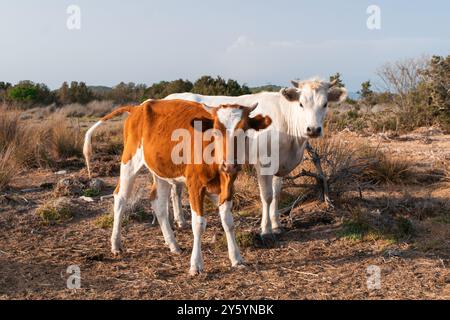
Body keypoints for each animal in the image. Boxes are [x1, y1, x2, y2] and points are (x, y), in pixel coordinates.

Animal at [82, 100, 270, 276]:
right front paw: (196, 264)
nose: (229, 164)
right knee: (120, 198)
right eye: (216, 130)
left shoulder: (228, 186)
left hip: (160, 170)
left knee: (157, 202)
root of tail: (137, 107)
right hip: (129, 160)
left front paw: (236, 258)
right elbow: (198, 224)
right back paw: (116, 244)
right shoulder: (195, 186)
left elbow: (228, 222)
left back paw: (173, 244)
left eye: (244, 129)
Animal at [165, 78, 348, 236]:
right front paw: (265, 229)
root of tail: (170, 97)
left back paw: (179, 221)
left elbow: (276, 193)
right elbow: (266, 196)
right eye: (301, 103)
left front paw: (277, 225)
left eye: (325, 104)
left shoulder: (279, 165)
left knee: (175, 189)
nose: (313, 129)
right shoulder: (264, 164)